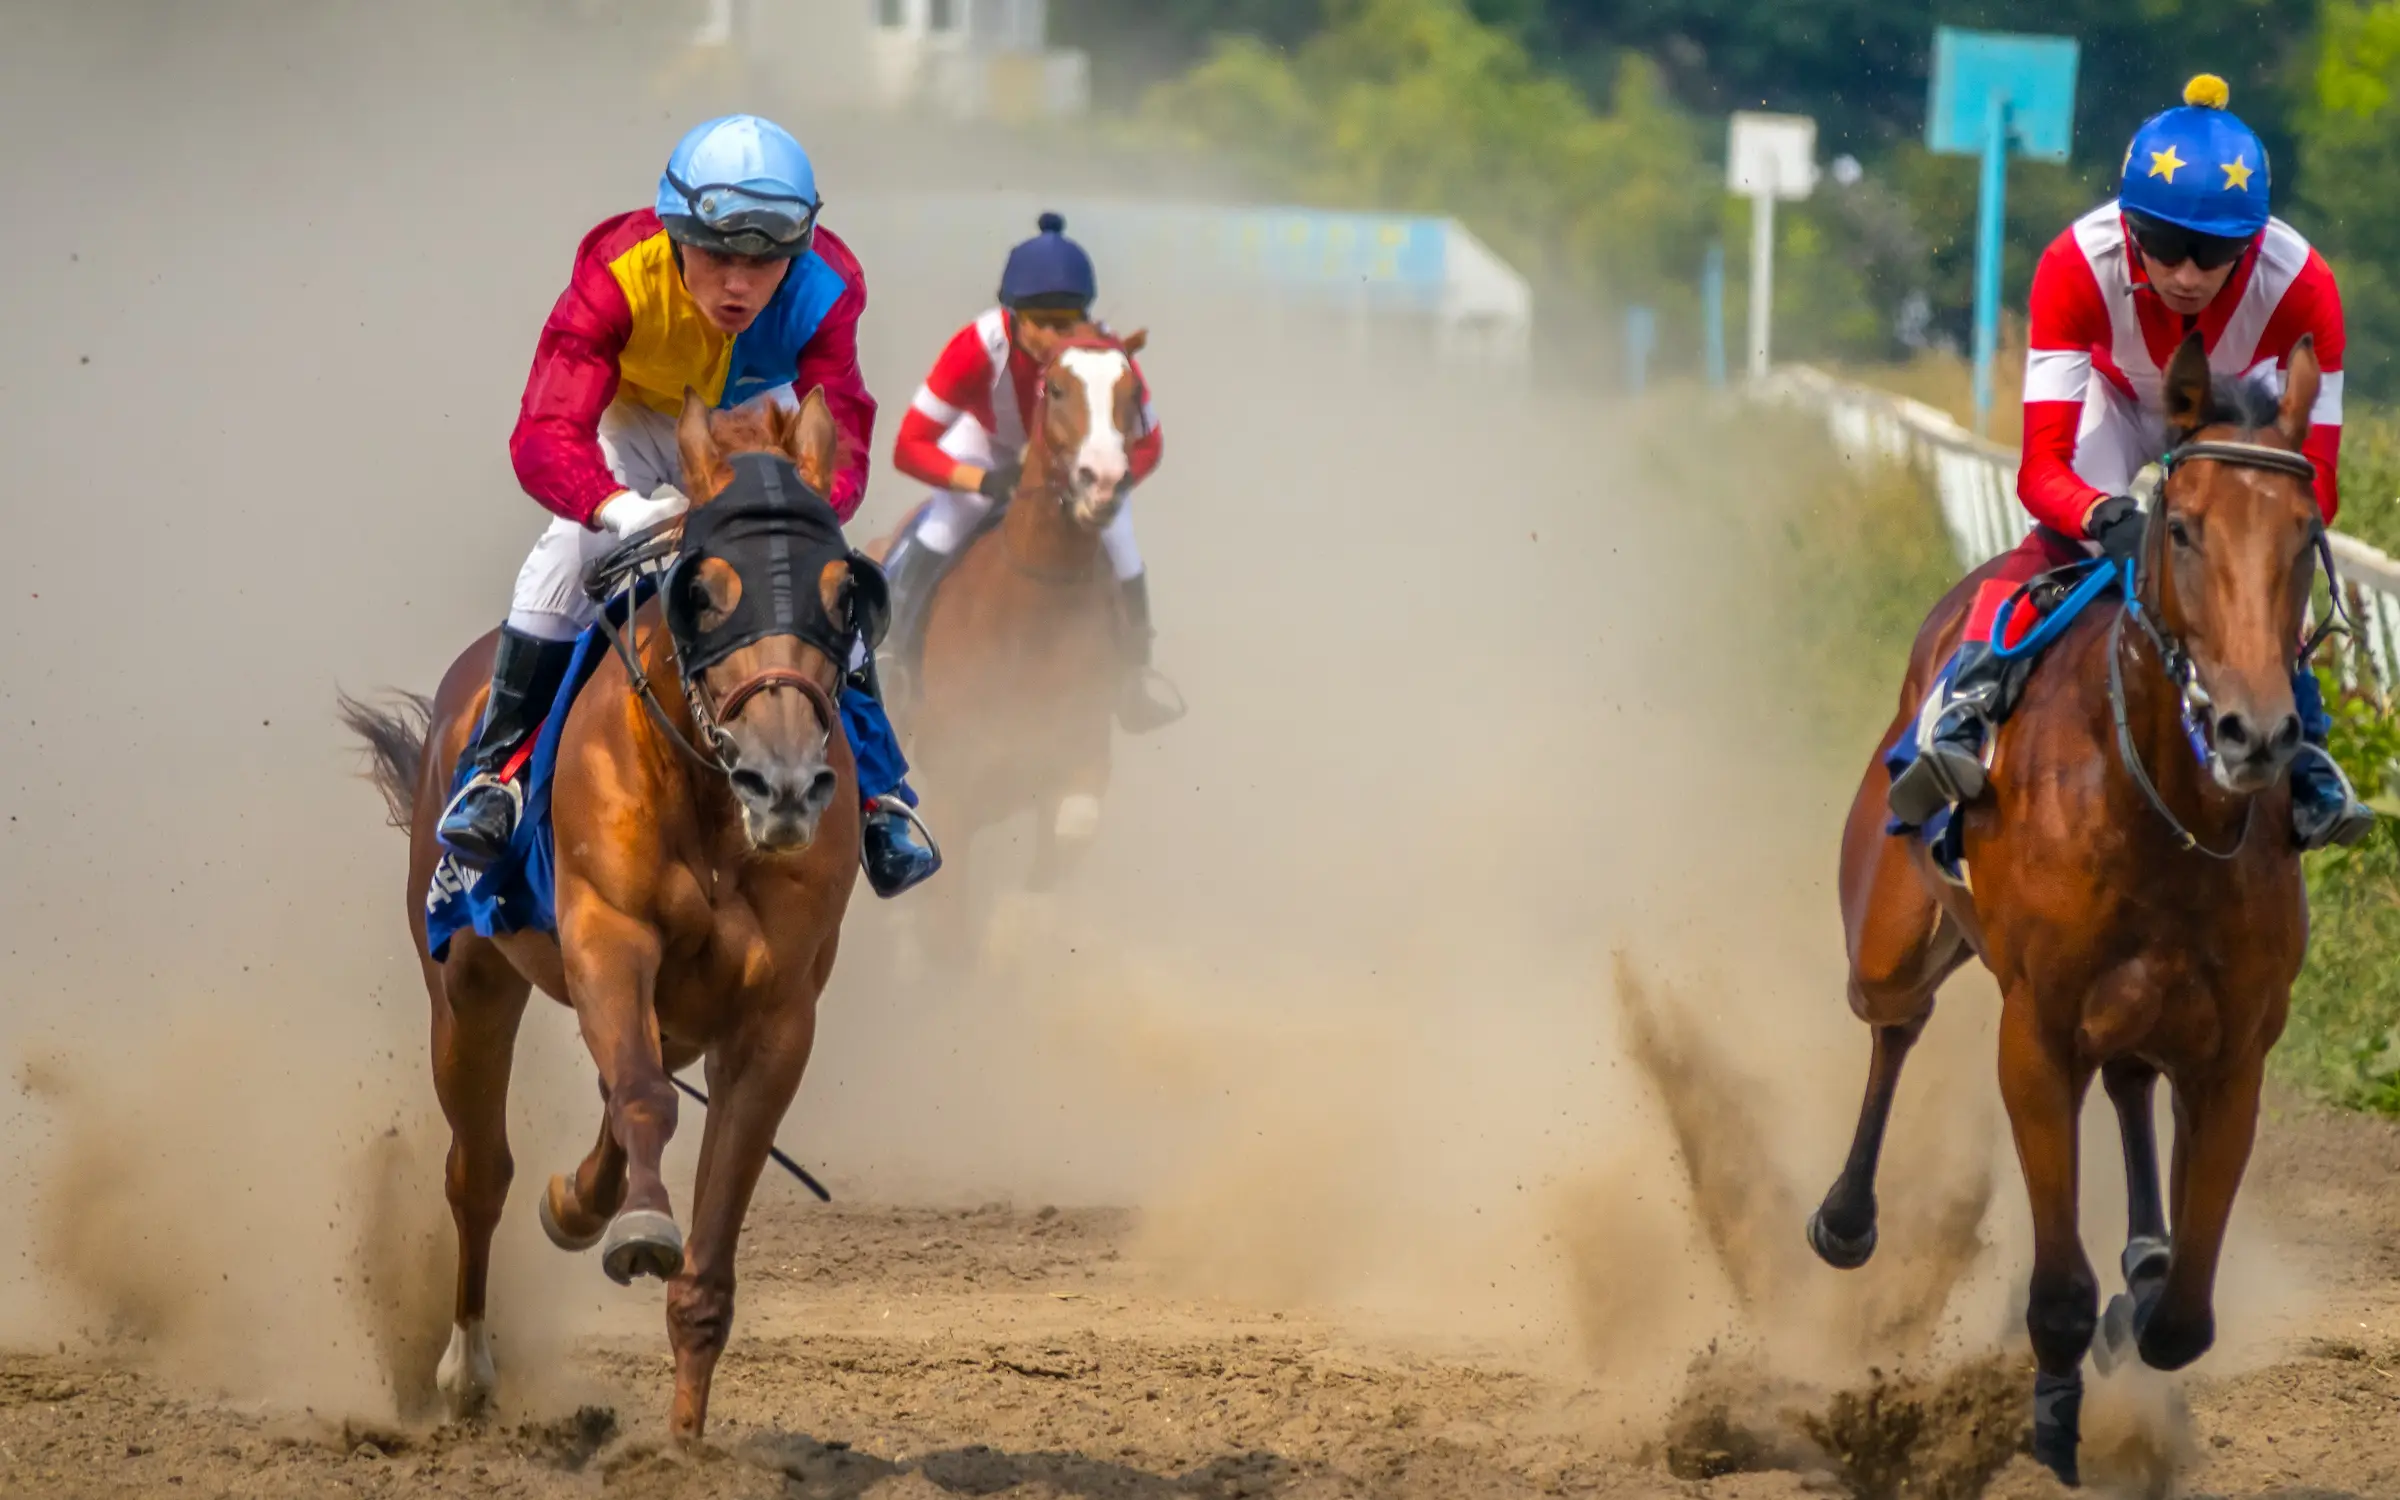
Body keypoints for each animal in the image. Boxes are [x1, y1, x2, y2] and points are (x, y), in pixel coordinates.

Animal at [341, 386, 880, 1438]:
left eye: (845, 594)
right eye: (704, 591)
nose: (786, 783)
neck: (711, 800)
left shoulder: (773, 1015)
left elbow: (706, 1262)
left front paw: (680, 1445)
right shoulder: (607, 942)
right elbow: (641, 1100)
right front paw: (635, 1225)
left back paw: (577, 1202)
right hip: (469, 985)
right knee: (480, 1169)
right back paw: (466, 1367)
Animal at [1808, 334, 2325, 1485]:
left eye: (2306, 539)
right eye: (2181, 528)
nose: (2256, 733)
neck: (2159, 809)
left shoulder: (2237, 1053)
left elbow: (2182, 1321)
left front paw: (2147, 1290)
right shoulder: (2035, 1035)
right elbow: (2058, 1292)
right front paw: (2049, 1412)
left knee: (2128, 1079)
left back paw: (2143, 1249)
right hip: (1891, 936)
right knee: (1894, 1022)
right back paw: (1846, 1219)